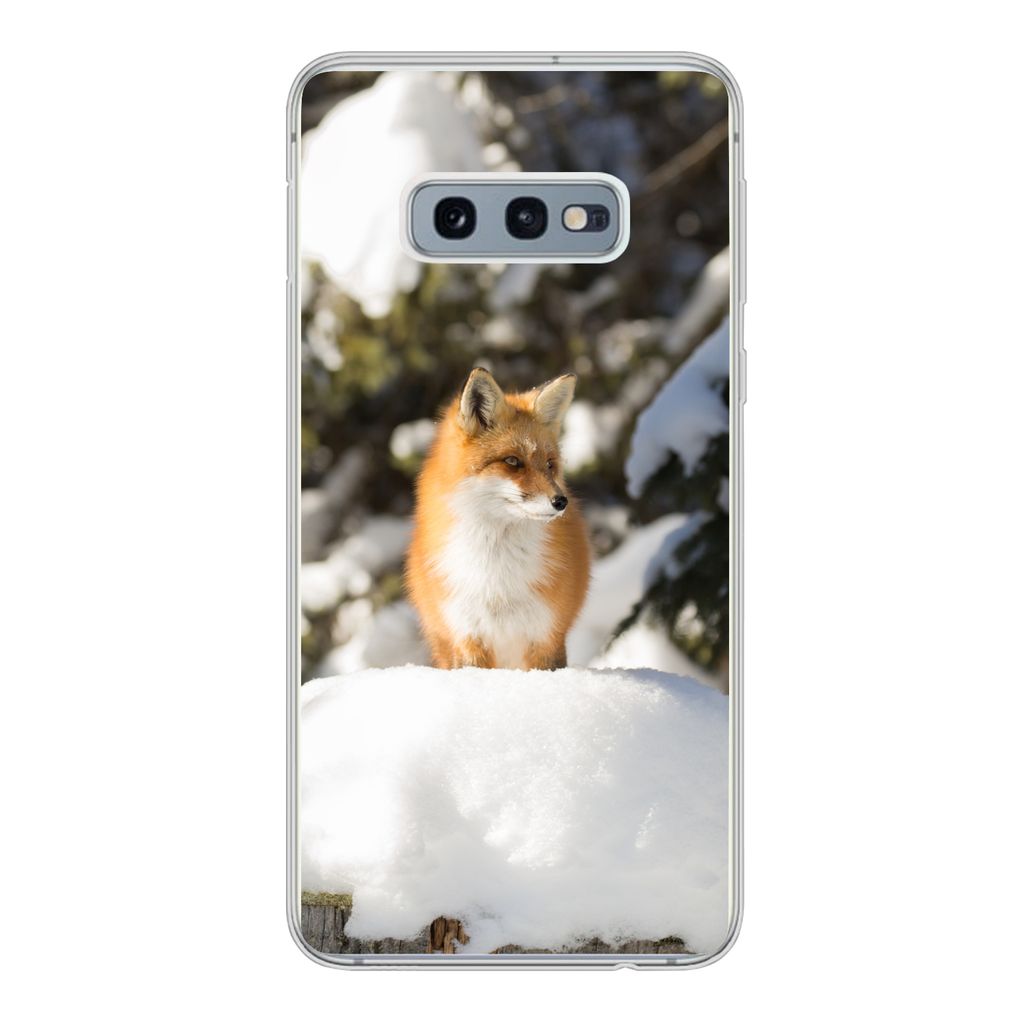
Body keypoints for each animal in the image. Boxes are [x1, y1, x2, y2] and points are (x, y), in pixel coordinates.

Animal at [406, 367, 591, 671]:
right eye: (513, 461)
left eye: (550, 464)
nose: (560, 501)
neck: (497, 579)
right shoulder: (468, 635)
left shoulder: (545, 635)